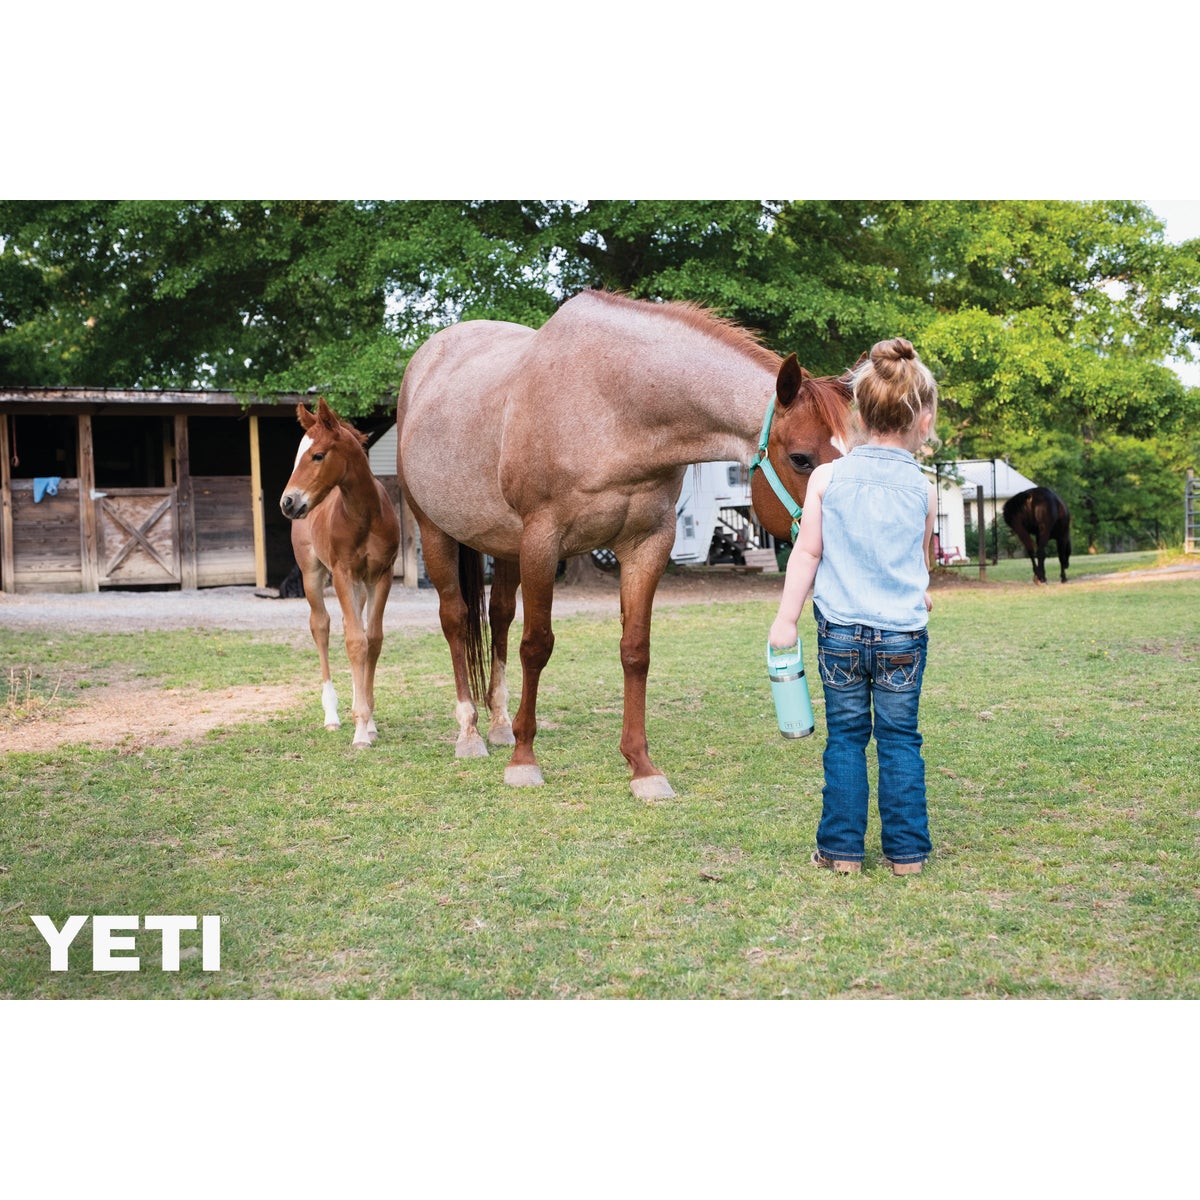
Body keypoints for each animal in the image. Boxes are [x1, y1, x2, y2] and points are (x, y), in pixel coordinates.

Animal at [278, 398, 400, 744]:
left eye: (318, 455)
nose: (288, 502)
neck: (366, 516)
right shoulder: (343, 573)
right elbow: (355, 642)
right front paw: (359, 731)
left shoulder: (381, 575)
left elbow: (372, 639)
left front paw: (369, 721)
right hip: (313, 573)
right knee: (321, 626)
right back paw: (331, 715)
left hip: (358, 585)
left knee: (351, 625)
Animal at [396, 289, 854, 796]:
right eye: (801, 458)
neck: (612, 406)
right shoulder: (542, 541)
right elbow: (536, 646)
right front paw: (524, 761)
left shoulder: (647, 544)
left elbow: (635, 650)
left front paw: (642, 768)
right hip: (437, 532)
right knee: (456, 621)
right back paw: (470, 733)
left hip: (504, 544)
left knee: (497, 619)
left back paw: (499, 725)